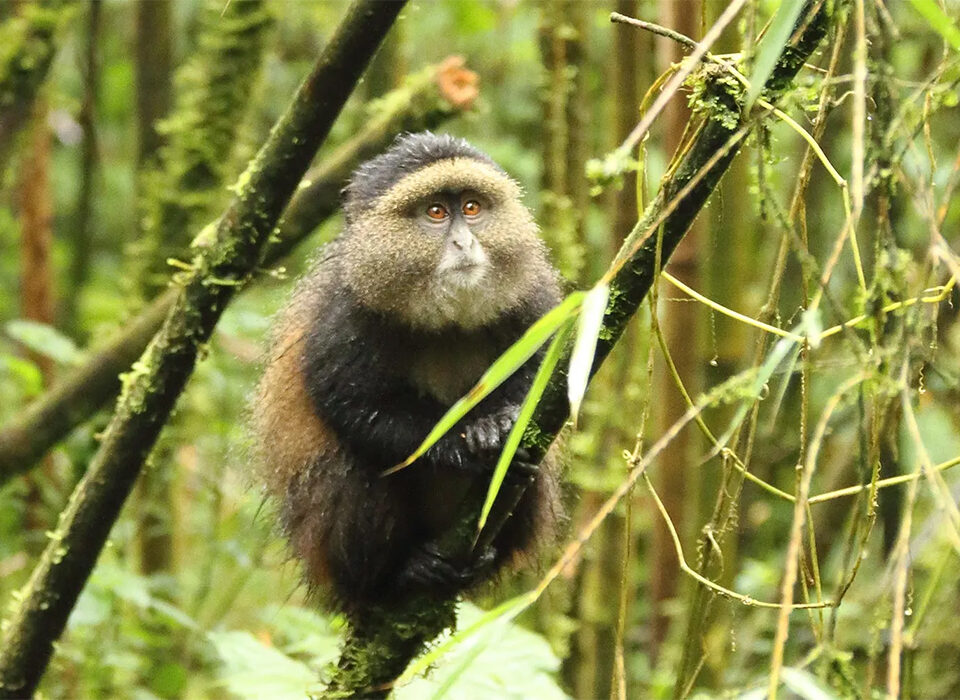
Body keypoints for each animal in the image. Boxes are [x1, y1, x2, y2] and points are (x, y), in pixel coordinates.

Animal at [252, 132, 564, 616]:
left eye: (471, 207)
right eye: (435, 213)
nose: (463, 244)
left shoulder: (535, 299)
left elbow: (551, 386)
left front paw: (499, 425)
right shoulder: (346, 314)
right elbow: (351, 405)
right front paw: (462, 443)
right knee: (357, 464)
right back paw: (399, 575)